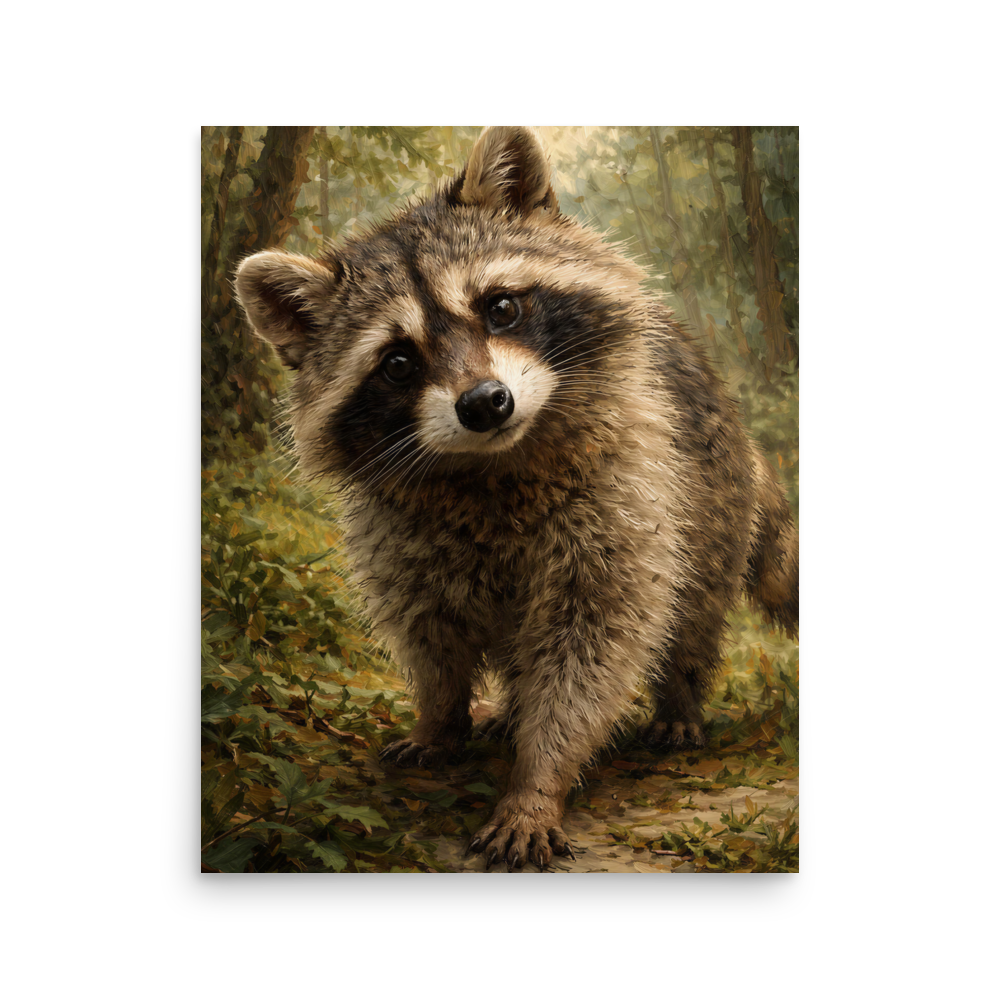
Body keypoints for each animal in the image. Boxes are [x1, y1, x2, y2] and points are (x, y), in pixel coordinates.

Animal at [234, 125, 799, 870]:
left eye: (500, 307)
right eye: (397, 362)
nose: (484, 403)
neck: (493, 466)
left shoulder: (626, 495)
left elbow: (591, 650)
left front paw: (538, 780)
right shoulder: (398, 535)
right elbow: (429, 634)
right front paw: (441, 718)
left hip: (710, 498)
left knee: (693, 610)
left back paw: (678, 699)